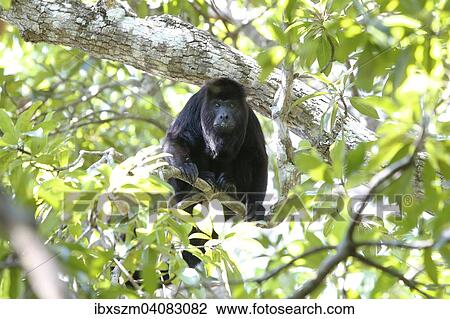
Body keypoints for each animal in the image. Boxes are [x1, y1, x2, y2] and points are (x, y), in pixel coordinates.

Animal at [163, 77, 266, 268]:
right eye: (217, 105)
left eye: (232, 105)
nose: (224, 115)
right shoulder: (194, 105)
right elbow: (176, 138)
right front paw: (185, 166)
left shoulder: (250, 118)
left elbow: (258, 157)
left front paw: (256, 206)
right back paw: (198, 184)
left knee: (246, 156)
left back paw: (230, 187)